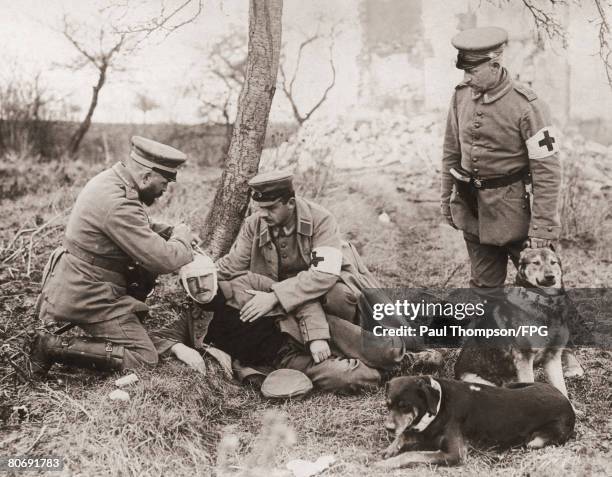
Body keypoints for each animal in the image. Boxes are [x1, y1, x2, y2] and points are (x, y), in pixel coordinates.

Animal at [376, 374, 576, 466]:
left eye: (405, 406)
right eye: (388, 405)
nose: (387, 428)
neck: (439, 404)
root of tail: (566, 401)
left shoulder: (455, 454)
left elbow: (413, 454)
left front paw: (387, 464)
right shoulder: (426, 431)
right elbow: (405, 435)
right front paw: (390, 449)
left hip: (536, 441)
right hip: (512, 385)